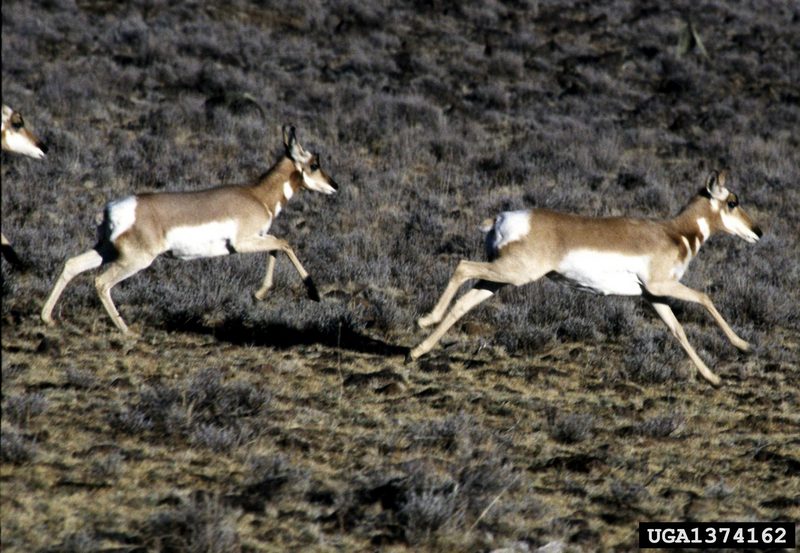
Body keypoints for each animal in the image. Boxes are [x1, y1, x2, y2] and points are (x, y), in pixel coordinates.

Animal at [42, 125, 336, 332]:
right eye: (314, 164)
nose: (334, 186)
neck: (257, 195)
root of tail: (115, 208)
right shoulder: (244, 243)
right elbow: (284, 243)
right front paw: (313, 293)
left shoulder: (258, 238)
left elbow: (276, 247)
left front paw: (260, 293)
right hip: (135, 260)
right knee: (101, 282)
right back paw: (126, 331)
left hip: (106, 251)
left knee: (72, 265)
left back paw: (48, 318)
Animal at [412, 170, 764, 386]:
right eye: (732, 201)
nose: (758, 232)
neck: (674, 233)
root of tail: (502, 217)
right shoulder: (662, 286)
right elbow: (706, 298)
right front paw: (744, 346)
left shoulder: (653, 296)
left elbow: (678, 330)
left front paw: (713, 378)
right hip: (512, 273)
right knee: (463, 266)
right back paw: (425, 321)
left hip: (501, 279)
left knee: (465, 301)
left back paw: (419, 349)